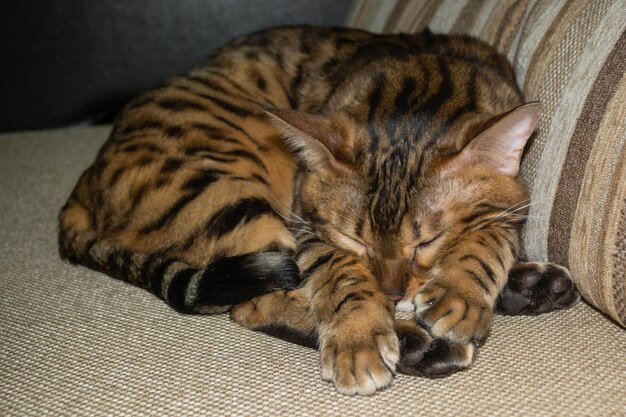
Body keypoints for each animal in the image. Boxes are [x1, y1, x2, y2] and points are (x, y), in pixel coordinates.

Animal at [58, 25, 576, 394]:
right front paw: (360, 336)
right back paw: (418, 343)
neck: (423, 76)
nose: (391, 293)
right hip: (221, 188)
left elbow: (487, 237)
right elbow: (338, 277)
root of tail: (83, 185)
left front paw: (457, 296)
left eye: (426, 240)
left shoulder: (512, 204)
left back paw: (527, 287)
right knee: (254, 303)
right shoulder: (306, 222)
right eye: (355, 239)